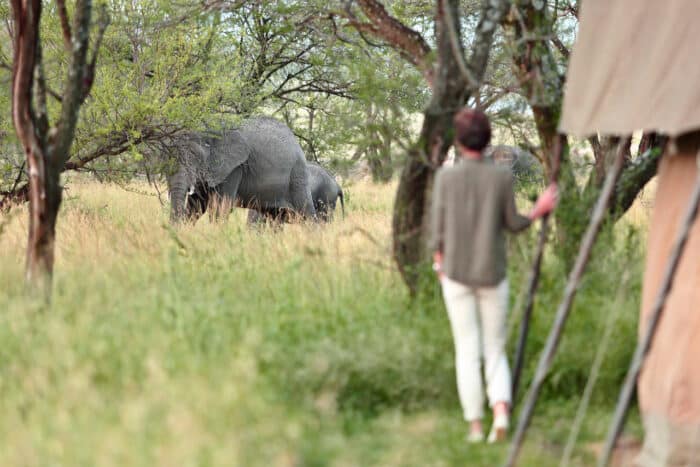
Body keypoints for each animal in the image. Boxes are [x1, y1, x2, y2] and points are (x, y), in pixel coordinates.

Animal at [167, 119, 314, 225]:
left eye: (195, 156)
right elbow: (196, 206)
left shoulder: (235, 168)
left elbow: (220, 207)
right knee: (275, 216)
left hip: (297, 175)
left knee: (306, 215)